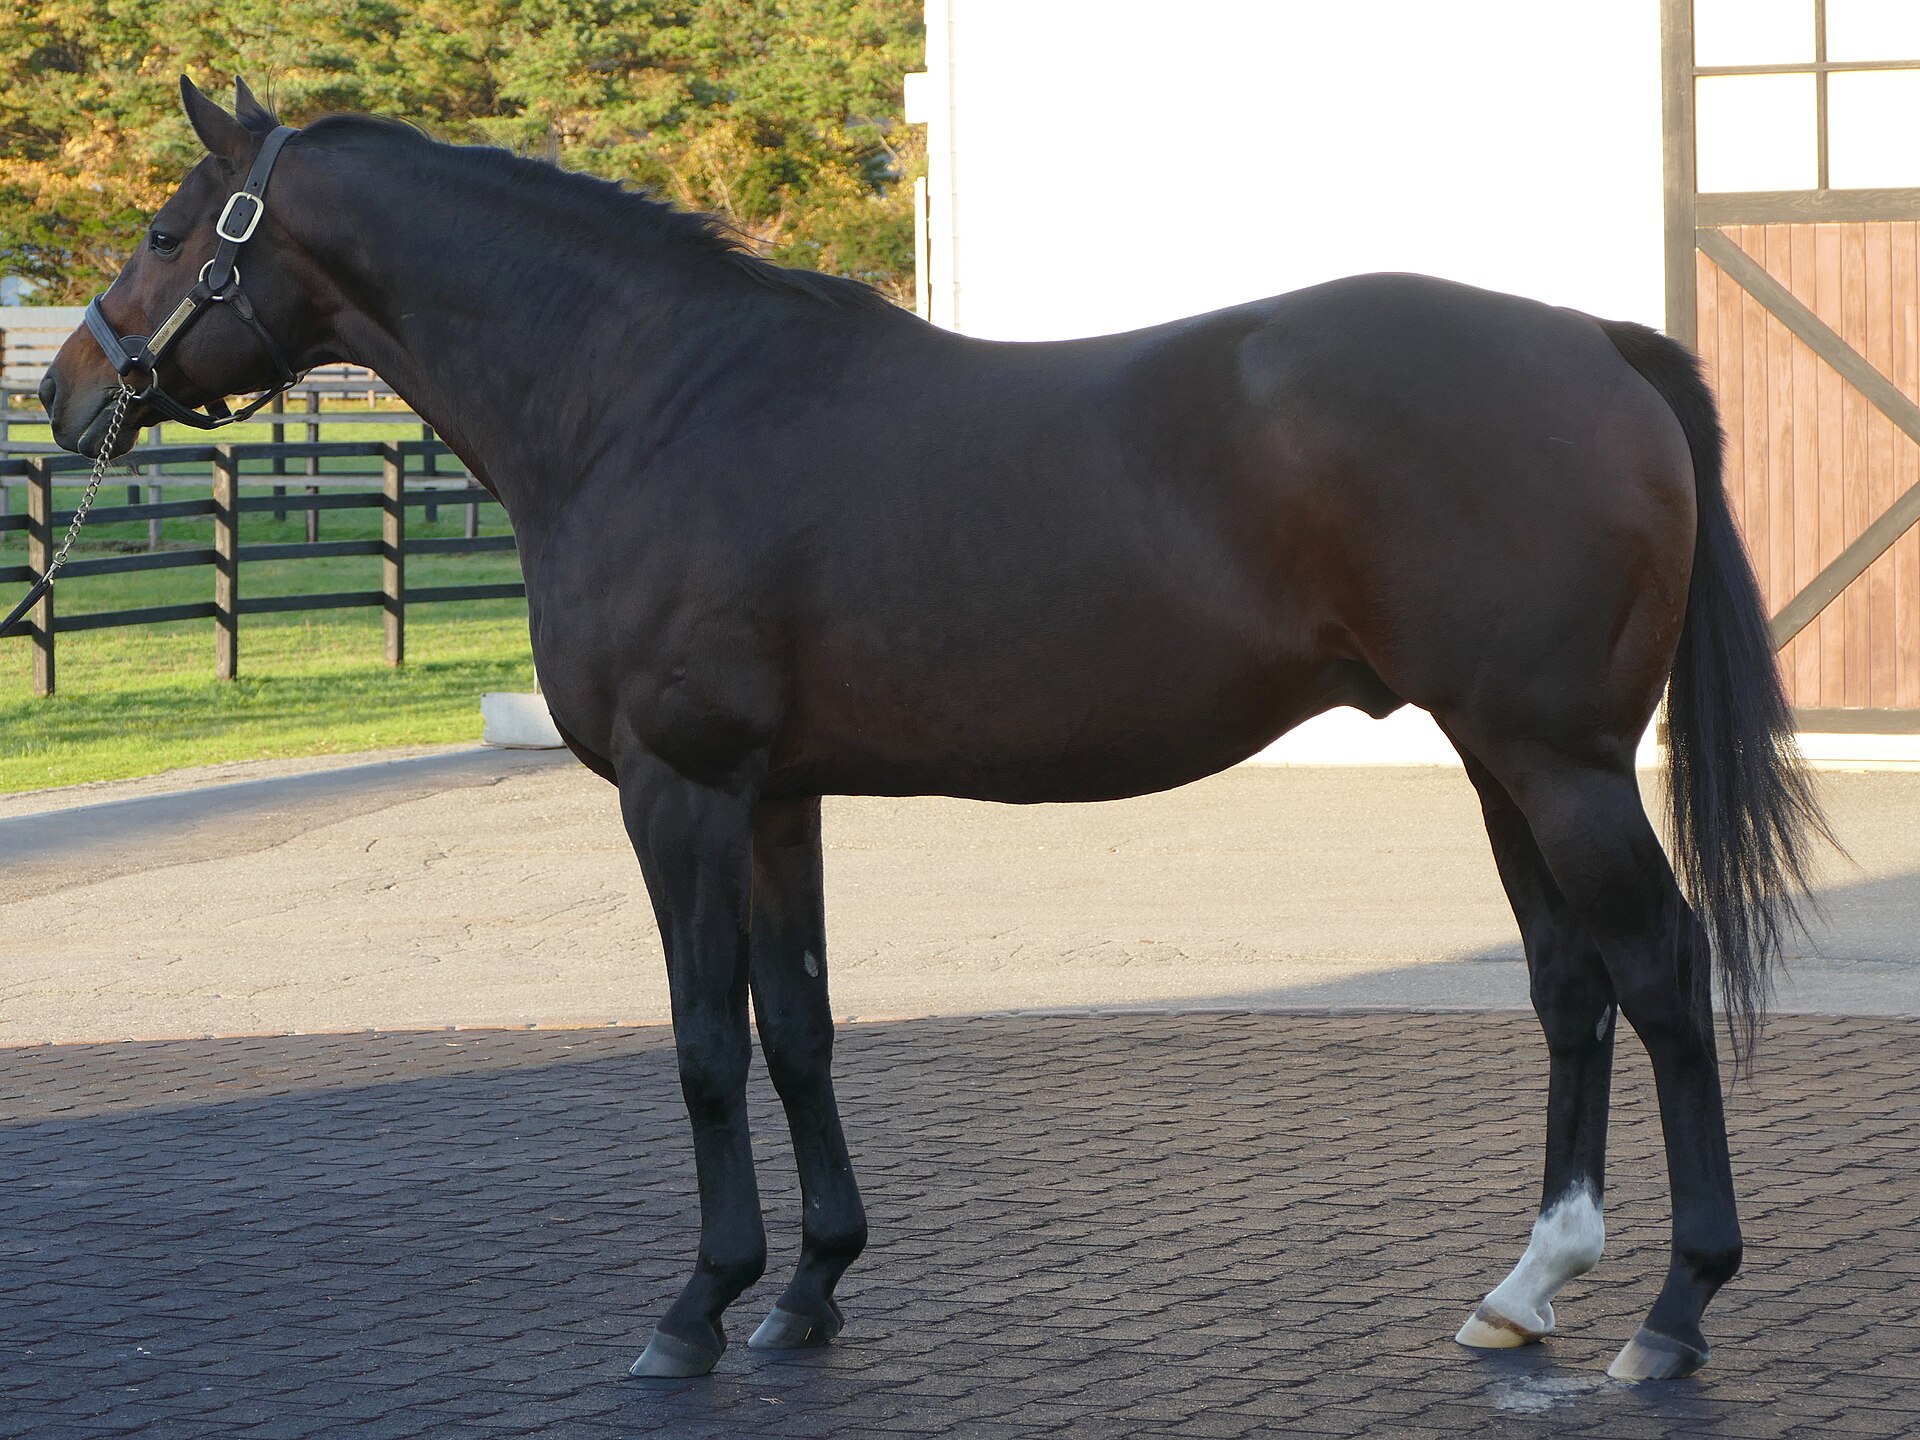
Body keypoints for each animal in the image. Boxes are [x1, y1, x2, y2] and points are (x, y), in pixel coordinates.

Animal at [43, 78, 1830, 1384]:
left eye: (167, 229)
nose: (69, 393)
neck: (648, 399)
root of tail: (1593, 340)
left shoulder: (678, 794)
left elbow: (702, 1045)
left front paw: (696, 1308)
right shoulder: (776, 801)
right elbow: (799, 1026)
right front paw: (808, 1290)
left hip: (1561, 763)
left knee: (1659, 975)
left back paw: (1675, 1314)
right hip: (1499, 758)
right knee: (1571, 988)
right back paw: (1526, 1290)